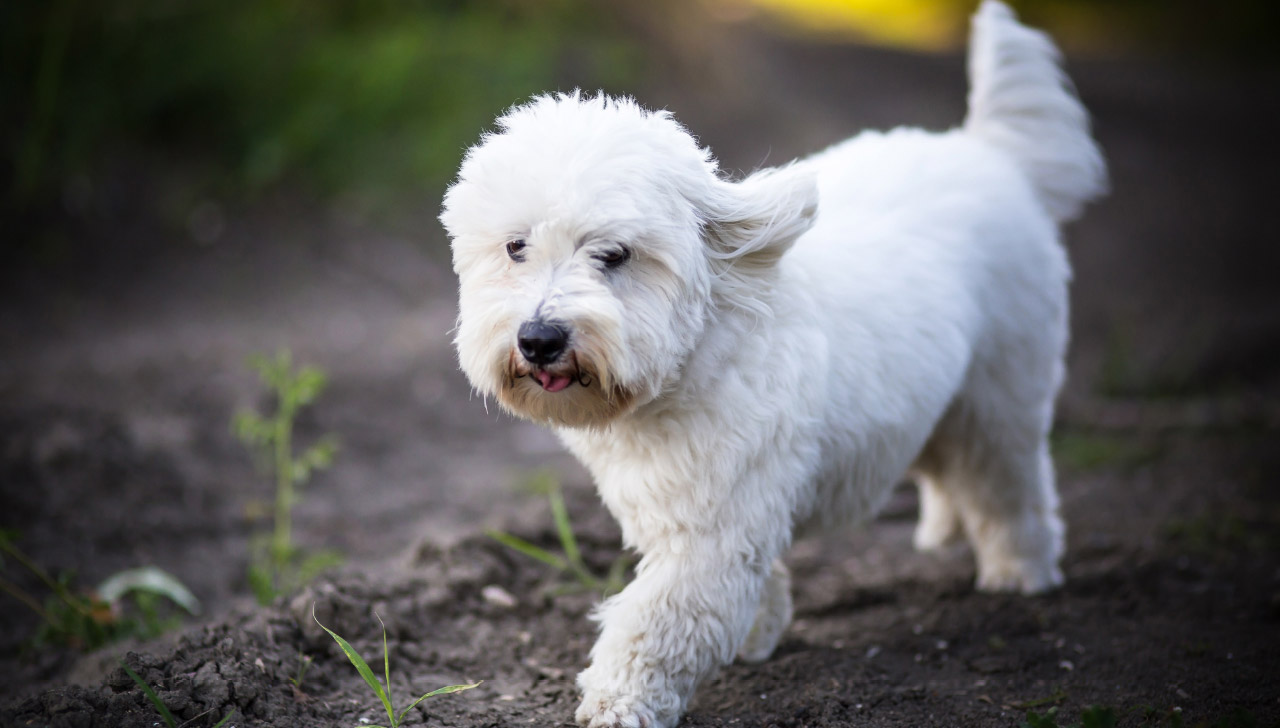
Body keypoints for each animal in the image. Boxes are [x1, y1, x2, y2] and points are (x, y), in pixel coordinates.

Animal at [437, 2, 1100, 721]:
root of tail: (988, 152)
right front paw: (759, 631)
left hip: (1001, 395)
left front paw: (619, 699)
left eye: (615, 254)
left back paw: (1019, 572)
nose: (539, 338)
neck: (694, 355)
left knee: (1007, 484)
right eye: (515, 247)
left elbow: (657, 619)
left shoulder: (712, 529)